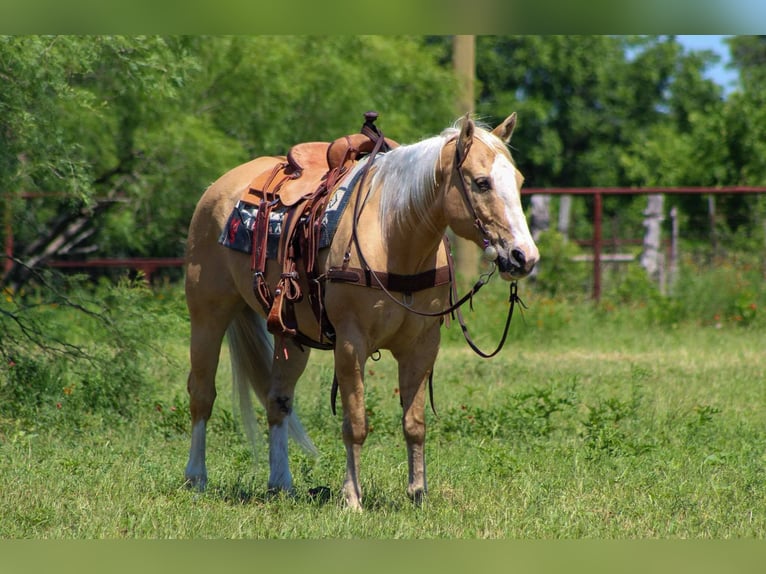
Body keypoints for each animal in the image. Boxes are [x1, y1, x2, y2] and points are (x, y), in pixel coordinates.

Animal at [183, 113, 539, 510]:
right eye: (481, 183)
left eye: (519, 181)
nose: (524, 257)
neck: (393, 234)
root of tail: (219, 188)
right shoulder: (351, 345)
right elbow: (355, 423)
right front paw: (352, 497)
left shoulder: (421, 346)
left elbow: (415, 424)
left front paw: (418, 493)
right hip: (207, 314)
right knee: (202, 394)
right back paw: (196, 477)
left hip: (291, 335)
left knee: (278, 401)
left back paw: (281, 483)